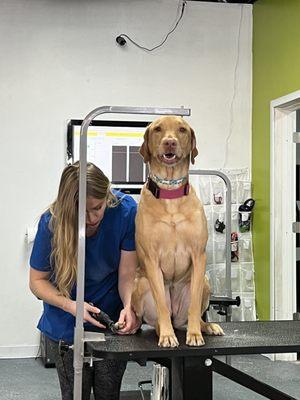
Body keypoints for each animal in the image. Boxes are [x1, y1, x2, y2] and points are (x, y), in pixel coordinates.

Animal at [132, 115, 224, 346]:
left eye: (182, 129)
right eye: (158, 129)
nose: (170, 142)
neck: (170, 192)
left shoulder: (198, 255)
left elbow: (194, 307)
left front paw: (194, 334)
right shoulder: (152, 258)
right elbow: (162, 306)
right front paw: (167, 336)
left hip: (205, 282)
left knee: (192, 313)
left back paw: (206, 326)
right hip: (141, 284)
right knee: (154, 317)